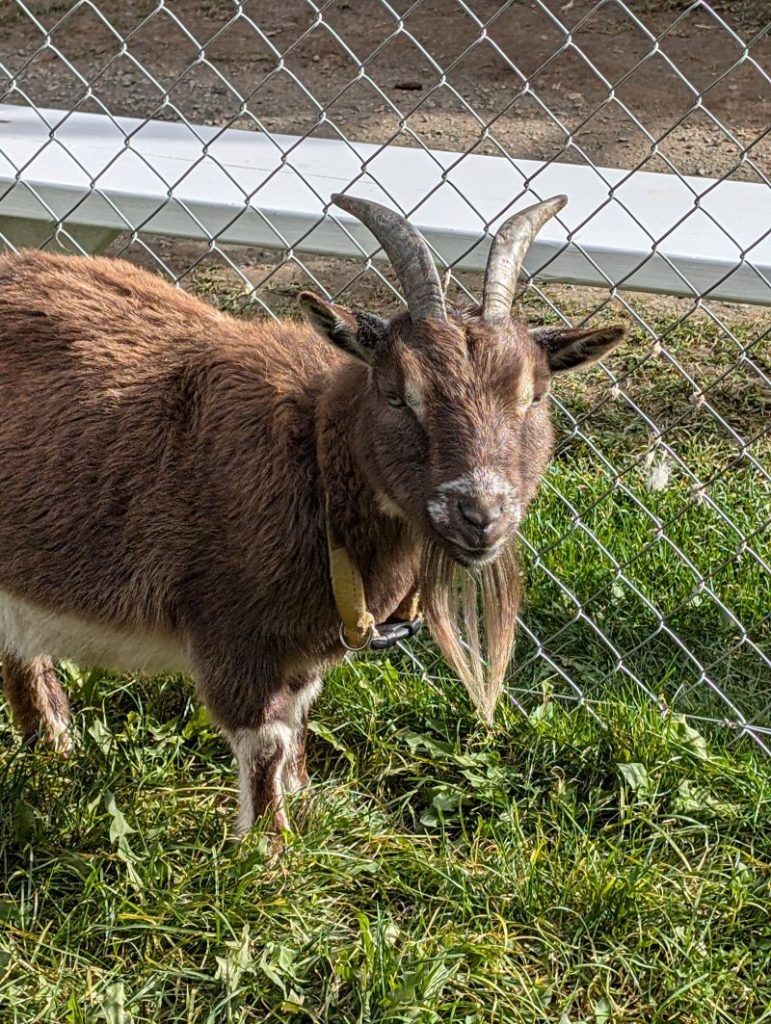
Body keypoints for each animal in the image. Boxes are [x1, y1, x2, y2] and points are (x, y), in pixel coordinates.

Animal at [0, 194, 625, 832]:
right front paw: (270, 846)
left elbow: (298, 719)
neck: (315, 454)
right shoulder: (232, 629)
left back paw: (52, 746)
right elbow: (266, 740)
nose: (480, 514)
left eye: (535, 396)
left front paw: (307, 801)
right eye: (397, 394)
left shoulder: (304, 647)